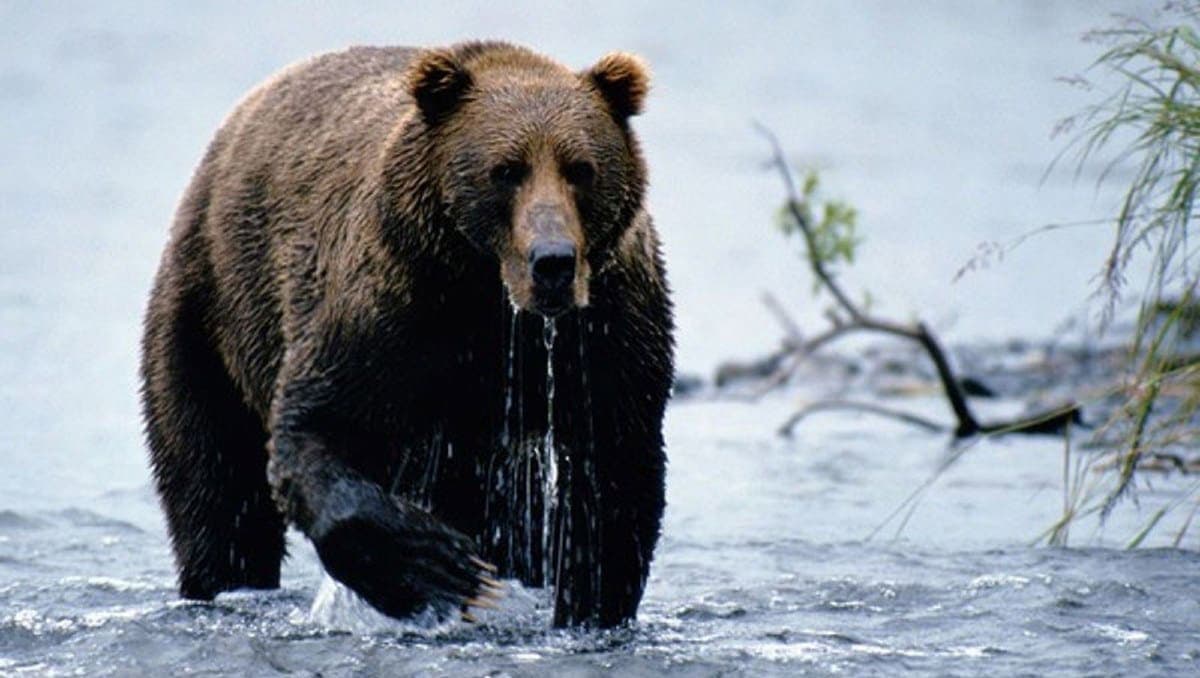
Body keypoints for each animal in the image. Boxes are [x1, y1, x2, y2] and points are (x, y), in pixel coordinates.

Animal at [140, 41, 674, 628]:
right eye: (505, 170)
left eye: (581, 169)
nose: (552, 261)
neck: (490, 301)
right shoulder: (392, 309)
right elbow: (315, 427)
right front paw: (442, 567)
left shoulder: (606, 329)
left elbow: (614, 477)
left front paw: (586, 606)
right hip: (208, 307)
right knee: (216, 486)